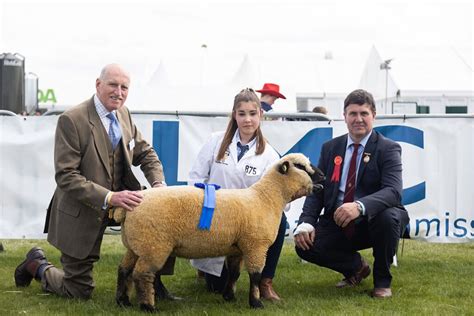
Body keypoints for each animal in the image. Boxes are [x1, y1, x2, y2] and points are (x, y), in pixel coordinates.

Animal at [113, 152, 324, 312]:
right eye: (300, 166)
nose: (323, 177)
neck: (266, 198)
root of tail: (128, 208)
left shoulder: (238, 249)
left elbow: (234, 274)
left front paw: (229, 297)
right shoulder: (256, 246)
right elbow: (255, 275)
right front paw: (256, 303)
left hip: (137, 244)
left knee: (124, 270)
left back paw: (123, 301)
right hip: (154, 245)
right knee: (142, 274)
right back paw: (148, 306)